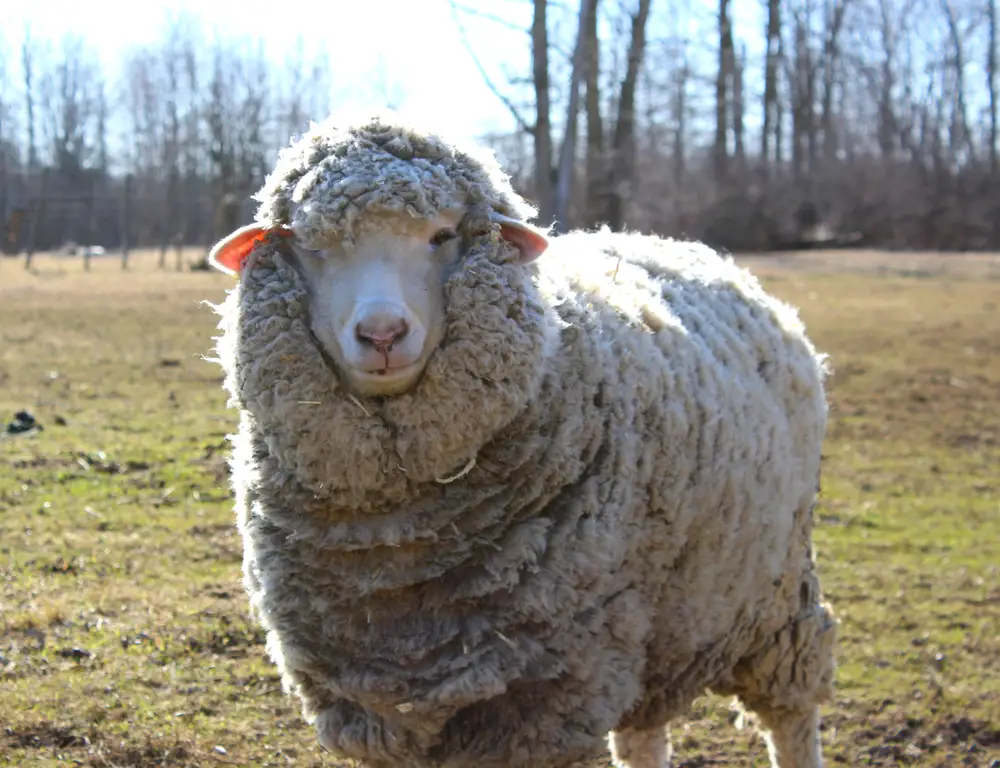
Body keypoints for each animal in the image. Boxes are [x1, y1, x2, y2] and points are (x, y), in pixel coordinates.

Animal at [209, 114, 836, 768]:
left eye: (441, 236)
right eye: (310, 245)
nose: (382, 334)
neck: (395, 536)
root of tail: (702, 254)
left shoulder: (543, 693)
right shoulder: (377, 700)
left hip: (772, 590)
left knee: (791, 710)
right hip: (651, 621)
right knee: (643, 730)